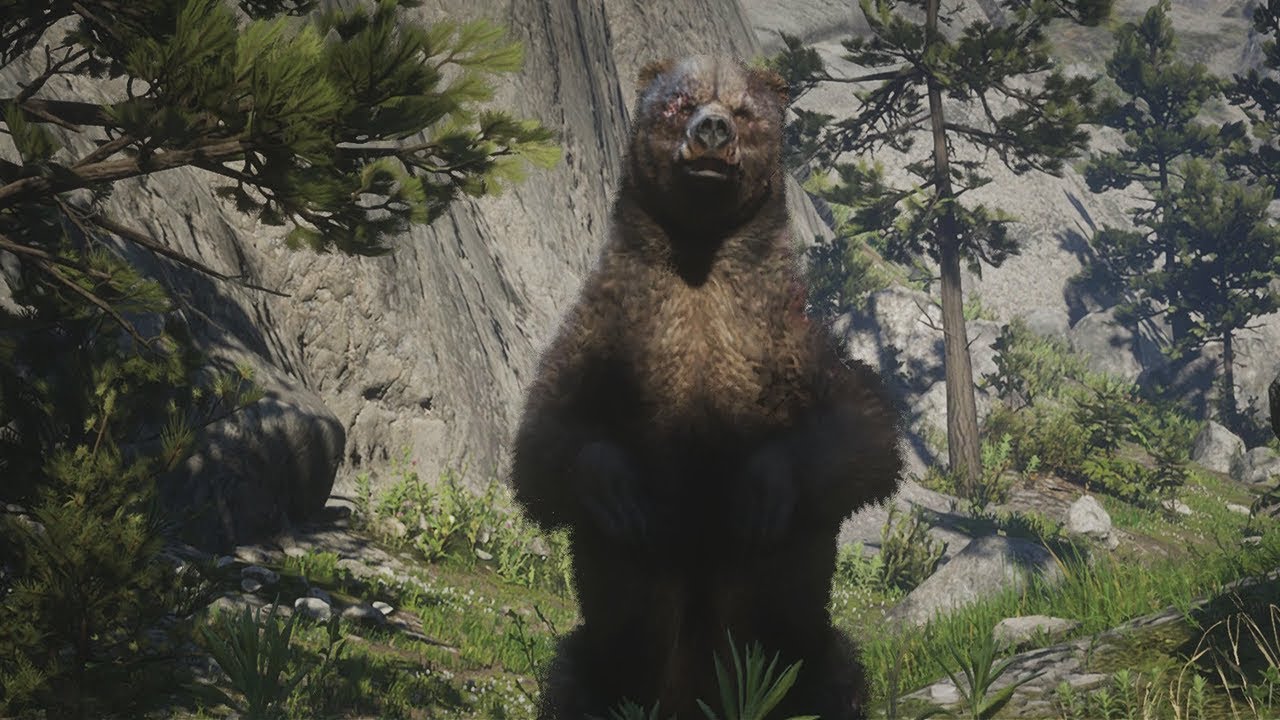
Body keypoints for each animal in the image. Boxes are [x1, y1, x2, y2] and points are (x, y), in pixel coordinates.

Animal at [509, 54, 904, 720]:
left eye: (744, 109)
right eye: (680, 102)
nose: (713, 130)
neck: (699, 261)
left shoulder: (787, 340)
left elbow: (864, 429)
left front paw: (761, 492)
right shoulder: (607, 334)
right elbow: (543, 442)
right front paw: (621, 493)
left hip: (803, 653)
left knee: (835, 673)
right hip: (602, 661)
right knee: (573, 677)